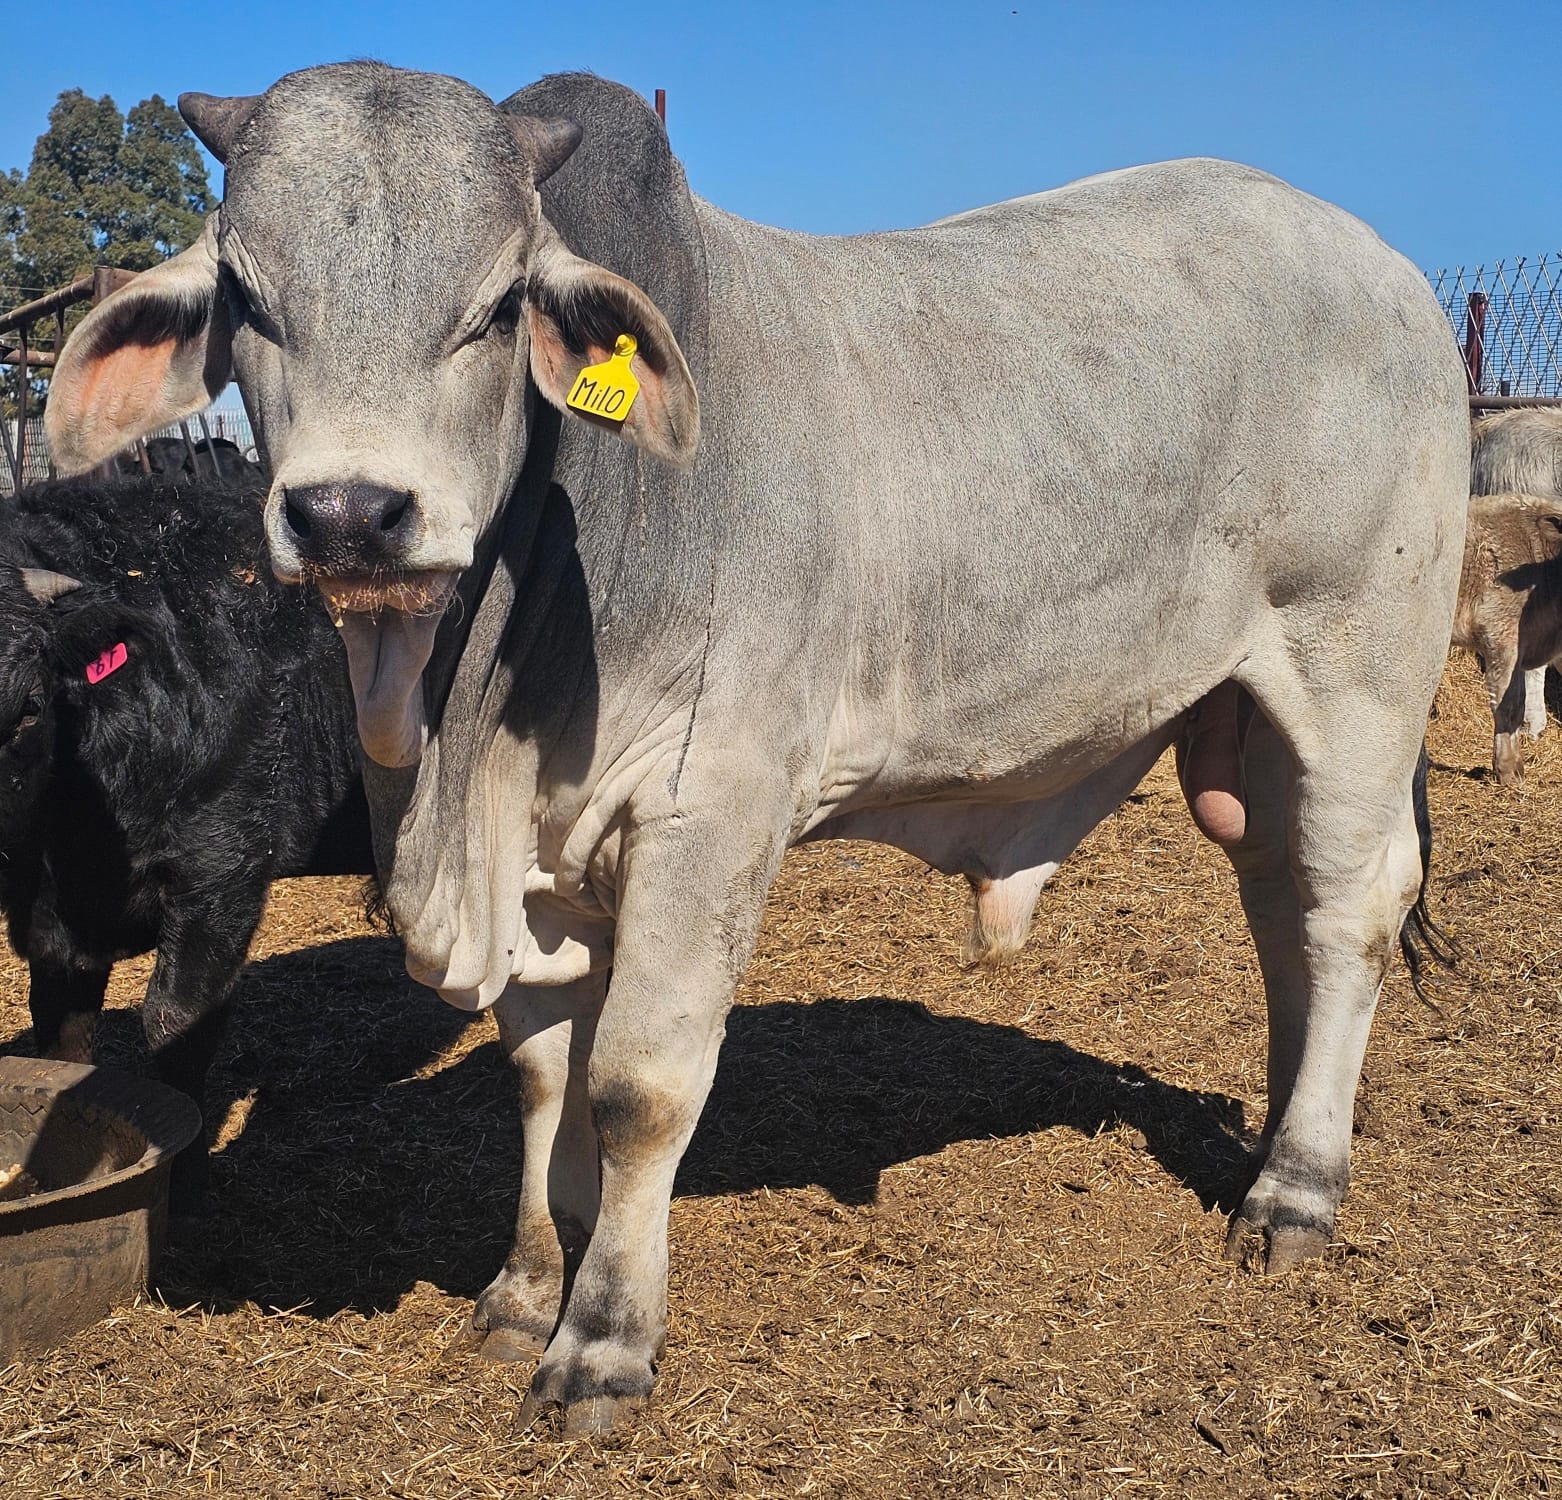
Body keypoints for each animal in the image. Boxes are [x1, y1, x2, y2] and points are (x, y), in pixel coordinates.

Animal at [0, 473, 372, 1203]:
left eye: (28, 706)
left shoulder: (220, 870)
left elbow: (177, 1021)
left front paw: (188, 1184)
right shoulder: (45, 914)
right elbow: (61, 1033)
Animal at [44, 64, 1469, 1434]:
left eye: (498, 307)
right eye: (247, 295)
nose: (350, 514)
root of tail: (1388, 267)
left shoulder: (706, 813)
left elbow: (637, 1086)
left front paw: (603, 1344)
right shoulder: (545, 869)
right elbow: (540, 1072)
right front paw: (525, 1287)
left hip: (1355, 675)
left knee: (1346, 911)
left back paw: (1296, 1190)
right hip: (1242, 722)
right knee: (1280, 909)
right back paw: (1278, 1130)